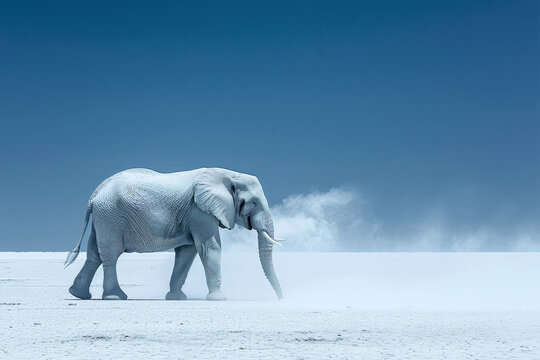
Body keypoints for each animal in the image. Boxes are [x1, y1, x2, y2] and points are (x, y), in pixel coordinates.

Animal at [63, 168, 284, 300]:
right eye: (253, 202)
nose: (281, 299)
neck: (229, 174)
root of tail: (94, 194)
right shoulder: (200, 211)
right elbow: (209, 247)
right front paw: (219, 299)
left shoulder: (194, 215)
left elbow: (187, 252)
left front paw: (177, 298)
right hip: (111, 216)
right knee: (110, 255)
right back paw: (115, 297)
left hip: (103, 219)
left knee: (94, 255)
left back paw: (78, 295)